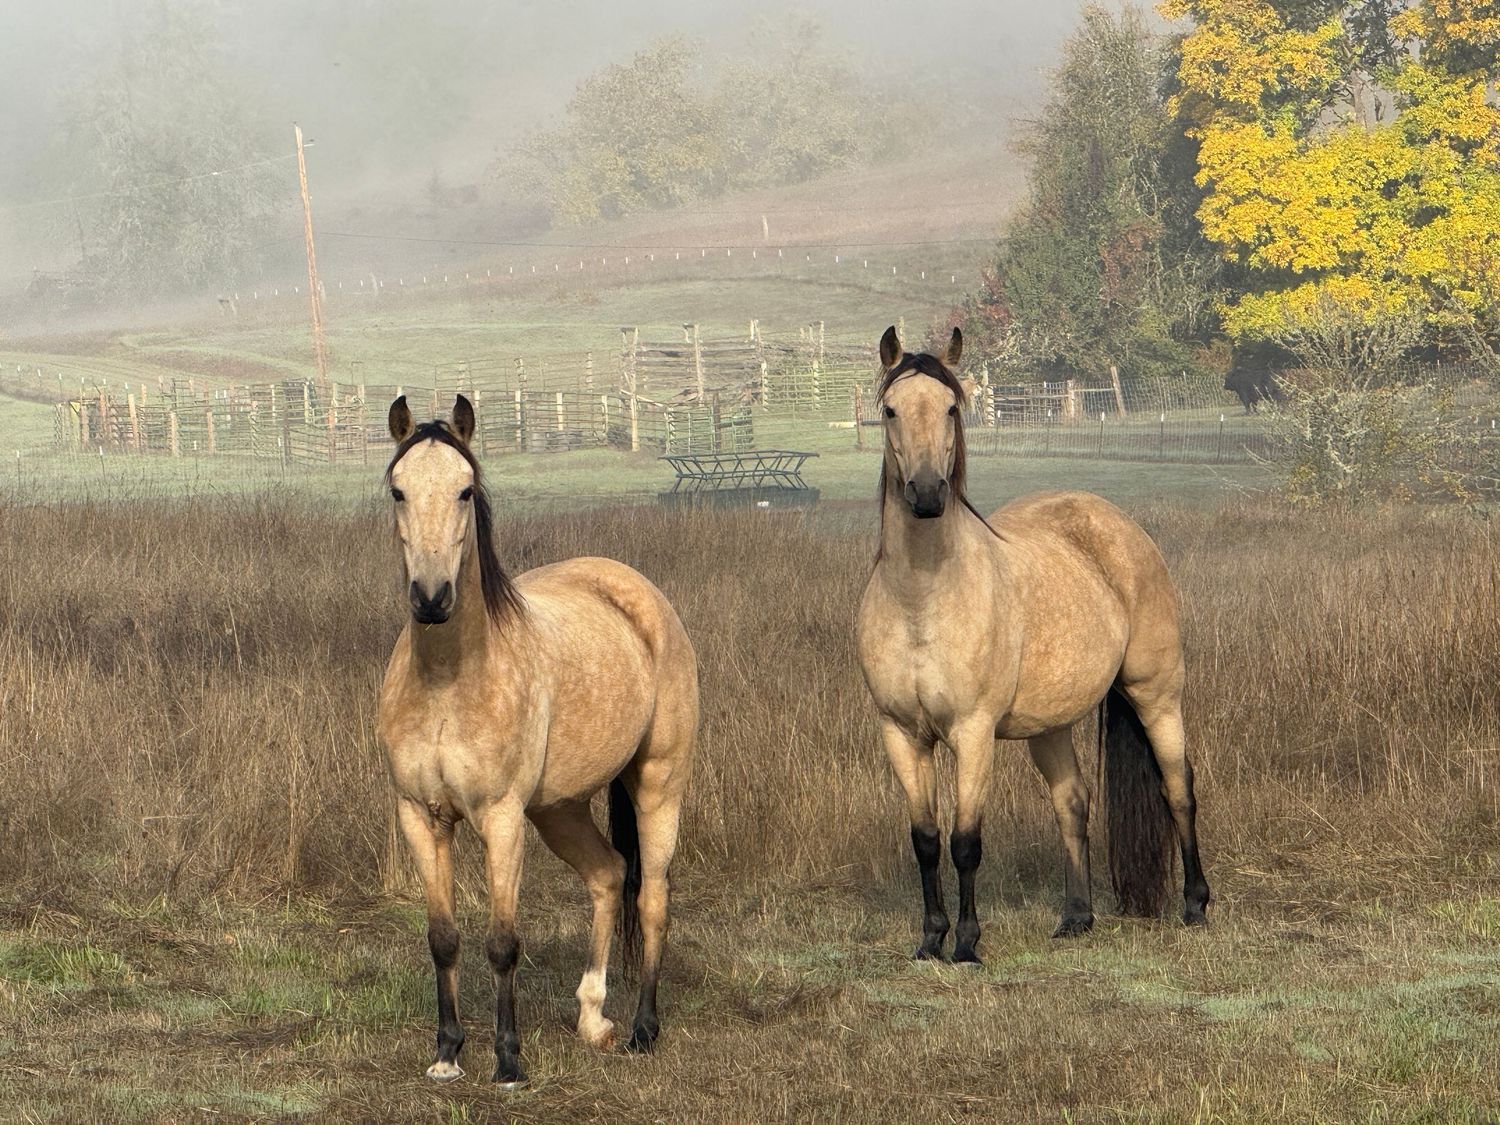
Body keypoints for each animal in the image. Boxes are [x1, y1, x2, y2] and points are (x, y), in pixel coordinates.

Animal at [377, 394, 698, 1086]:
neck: (447, 681)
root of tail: (639, 593)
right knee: (608, 876)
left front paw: (508, 1060)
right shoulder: (421, 816)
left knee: (652, 897)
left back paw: (643, 1030)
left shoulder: (501, 820)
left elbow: (503, 943)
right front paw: (447, 1053)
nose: (432, 599)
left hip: (658, 785)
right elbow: (442, 937)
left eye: (466, 490)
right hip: (559, 809)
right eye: (398, 490)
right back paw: (592, 1017)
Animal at [855, 326, 1210, 963]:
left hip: (1156, 694)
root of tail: (1117, 524)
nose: (927, 494)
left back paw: (1195, 905)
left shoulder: (972, 733)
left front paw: (966, 944)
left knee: (1179, 790)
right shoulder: (901, 734)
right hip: (1051, 726)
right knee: (1072, 804)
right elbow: (925, 840)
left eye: (951, 408)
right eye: (890, 410)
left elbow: (965, 841)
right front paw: (930, 939)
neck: (922, 600)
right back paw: (1076, 917)